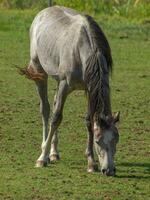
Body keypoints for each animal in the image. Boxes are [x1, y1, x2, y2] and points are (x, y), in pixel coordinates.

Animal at [20, 5, 119, 176]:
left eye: (116, 140)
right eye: (98, 141)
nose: (109, 170)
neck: (81, 50)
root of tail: (43, 12)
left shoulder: (89, 89)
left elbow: (88, 120)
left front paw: (91, 163)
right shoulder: (65, 85)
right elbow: (56, 118)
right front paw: (42, 158)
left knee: (53, 104)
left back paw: (54, 153)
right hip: (40, 72)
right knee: (46, 110)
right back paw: (45, 150)